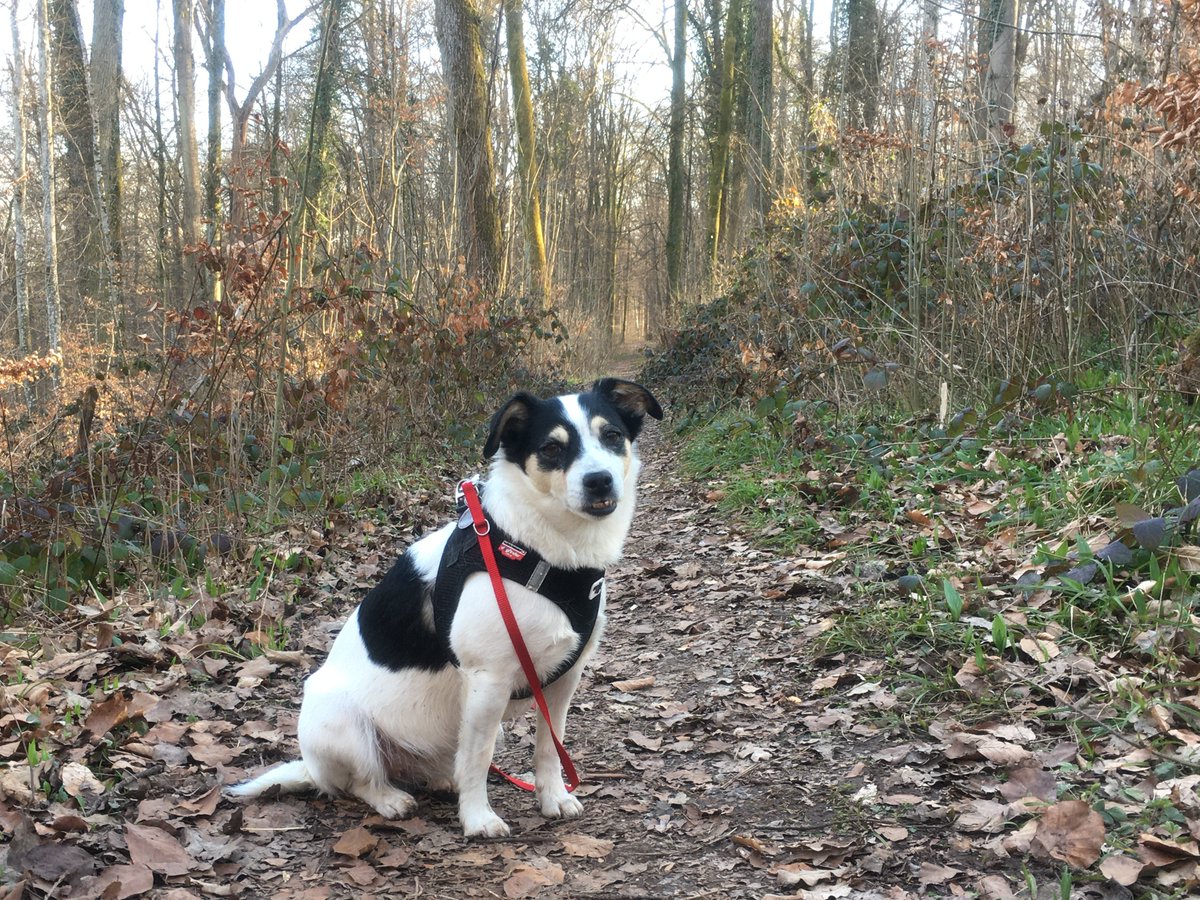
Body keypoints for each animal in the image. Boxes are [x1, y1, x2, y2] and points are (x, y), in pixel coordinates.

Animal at [229, 379, 662, 840]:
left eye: (612, 435)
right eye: (550, 448)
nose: (599, 481)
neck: (539, 552)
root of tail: (310, 768)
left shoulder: (564, 680)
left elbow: (550, 747)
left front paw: (553, 798)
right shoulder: (488, 682)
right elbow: (477, 759)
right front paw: (478, 817)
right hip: (343, 724)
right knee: (360, 781)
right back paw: (389, 798)